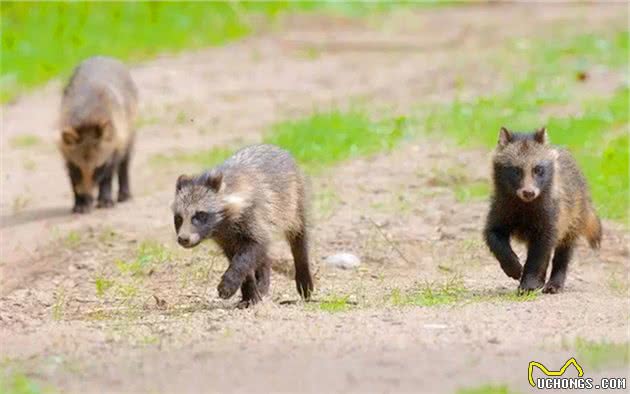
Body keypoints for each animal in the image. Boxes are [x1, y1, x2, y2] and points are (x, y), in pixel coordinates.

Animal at [172, 145, 314, 308]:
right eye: (178, 218)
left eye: (199, 215)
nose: (183, 239)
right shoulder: (225, 239)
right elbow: (242, 259)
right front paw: (249, 292)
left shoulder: (254, 215)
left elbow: (248, 254)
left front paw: (230, 282)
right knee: (263, 255)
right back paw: (262, 281)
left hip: (294, 200)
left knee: (298, 237)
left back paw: (303, 274)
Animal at [486, 127, 604, 294]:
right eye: (516, 170)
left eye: (538, 169)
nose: (528, 193)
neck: (524, 205)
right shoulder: (500, 208)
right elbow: (493, 236)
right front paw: (512, 266)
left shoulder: (550, 218)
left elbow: (537, 257)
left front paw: (528, 282)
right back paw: (540, 281)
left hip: (572, 218)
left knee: (562, 255)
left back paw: (555, 282)